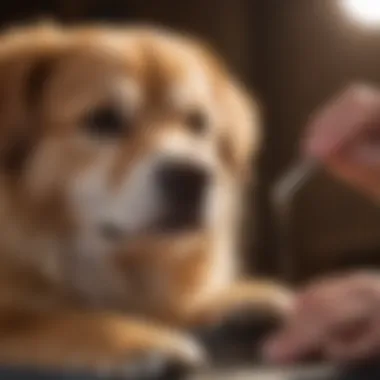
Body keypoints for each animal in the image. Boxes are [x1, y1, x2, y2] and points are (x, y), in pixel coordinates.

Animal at [0, 23, 290, 378]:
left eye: (197, 123)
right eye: (103, 119)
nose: (192, 176)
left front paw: (234, 300)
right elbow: (46, 320)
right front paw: (136, 340)